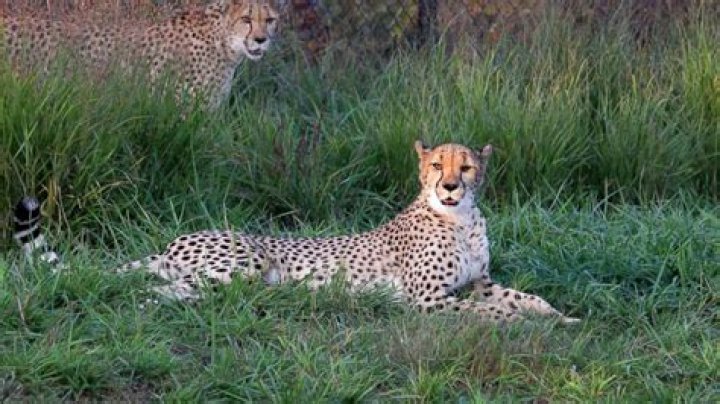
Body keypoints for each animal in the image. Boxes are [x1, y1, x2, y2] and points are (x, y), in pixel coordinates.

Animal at [13, 141, 579, 324]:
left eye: (467, 168)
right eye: (437, 164)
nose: (449, 187)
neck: (461, 221)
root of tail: (172, 242)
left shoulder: (478, 283)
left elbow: (521, 297)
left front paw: (561, 317)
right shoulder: (429, 300)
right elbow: (490, 313)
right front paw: (525, 326)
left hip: (219, 280)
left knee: (167, 292)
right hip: (245, 265)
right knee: (161, 290)